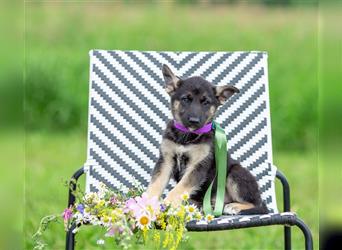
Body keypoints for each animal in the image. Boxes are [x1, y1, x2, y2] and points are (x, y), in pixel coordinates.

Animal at [146, 64, 268, 215]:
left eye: (206, 102)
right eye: (186, 99)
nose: (194, 121)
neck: (187, 137)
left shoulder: (198, 166)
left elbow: (179, 188)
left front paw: (167, 204)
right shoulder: (166, 161)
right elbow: (155, 185)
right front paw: (145, 204)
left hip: (235, 174)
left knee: (259, 205)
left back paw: (235, 206)